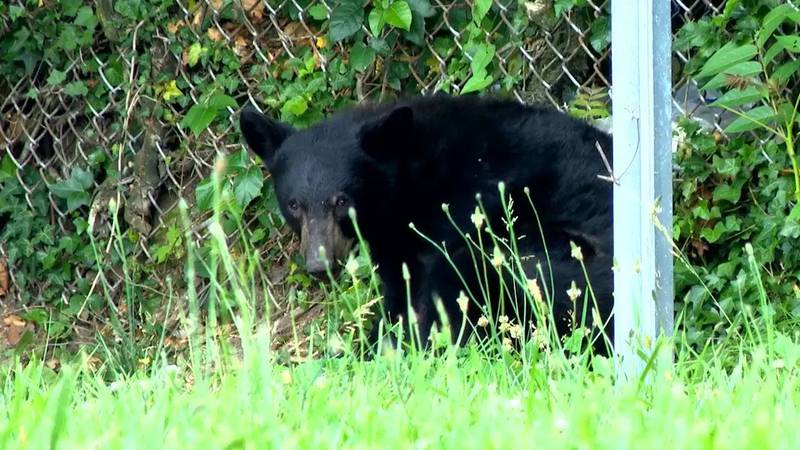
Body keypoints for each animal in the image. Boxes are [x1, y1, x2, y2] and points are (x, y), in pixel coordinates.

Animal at [238, 94, 612, 356]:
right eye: (294, 204)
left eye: (342, 200)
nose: (320, 265)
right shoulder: (394, 243)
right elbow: (397, 295)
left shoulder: (467, 202)